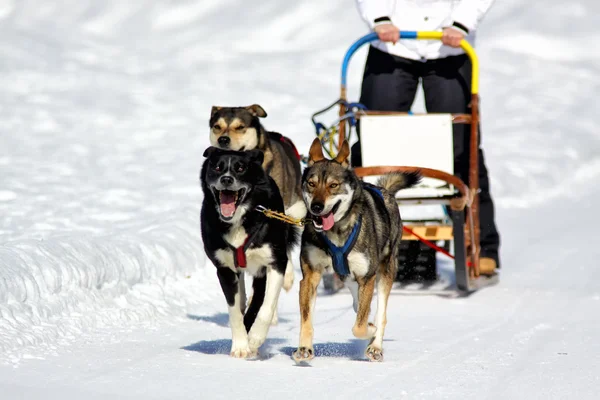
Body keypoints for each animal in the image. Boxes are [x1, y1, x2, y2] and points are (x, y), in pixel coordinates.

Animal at [199, 145, 298, 358]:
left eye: (240, 168)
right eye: (217, 167)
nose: (227, 179)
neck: (240, 220)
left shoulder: (273, 264)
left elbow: (265, 307)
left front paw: (254, 338)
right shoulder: (225, 270)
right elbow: (234, 311)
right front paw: (240, 345)